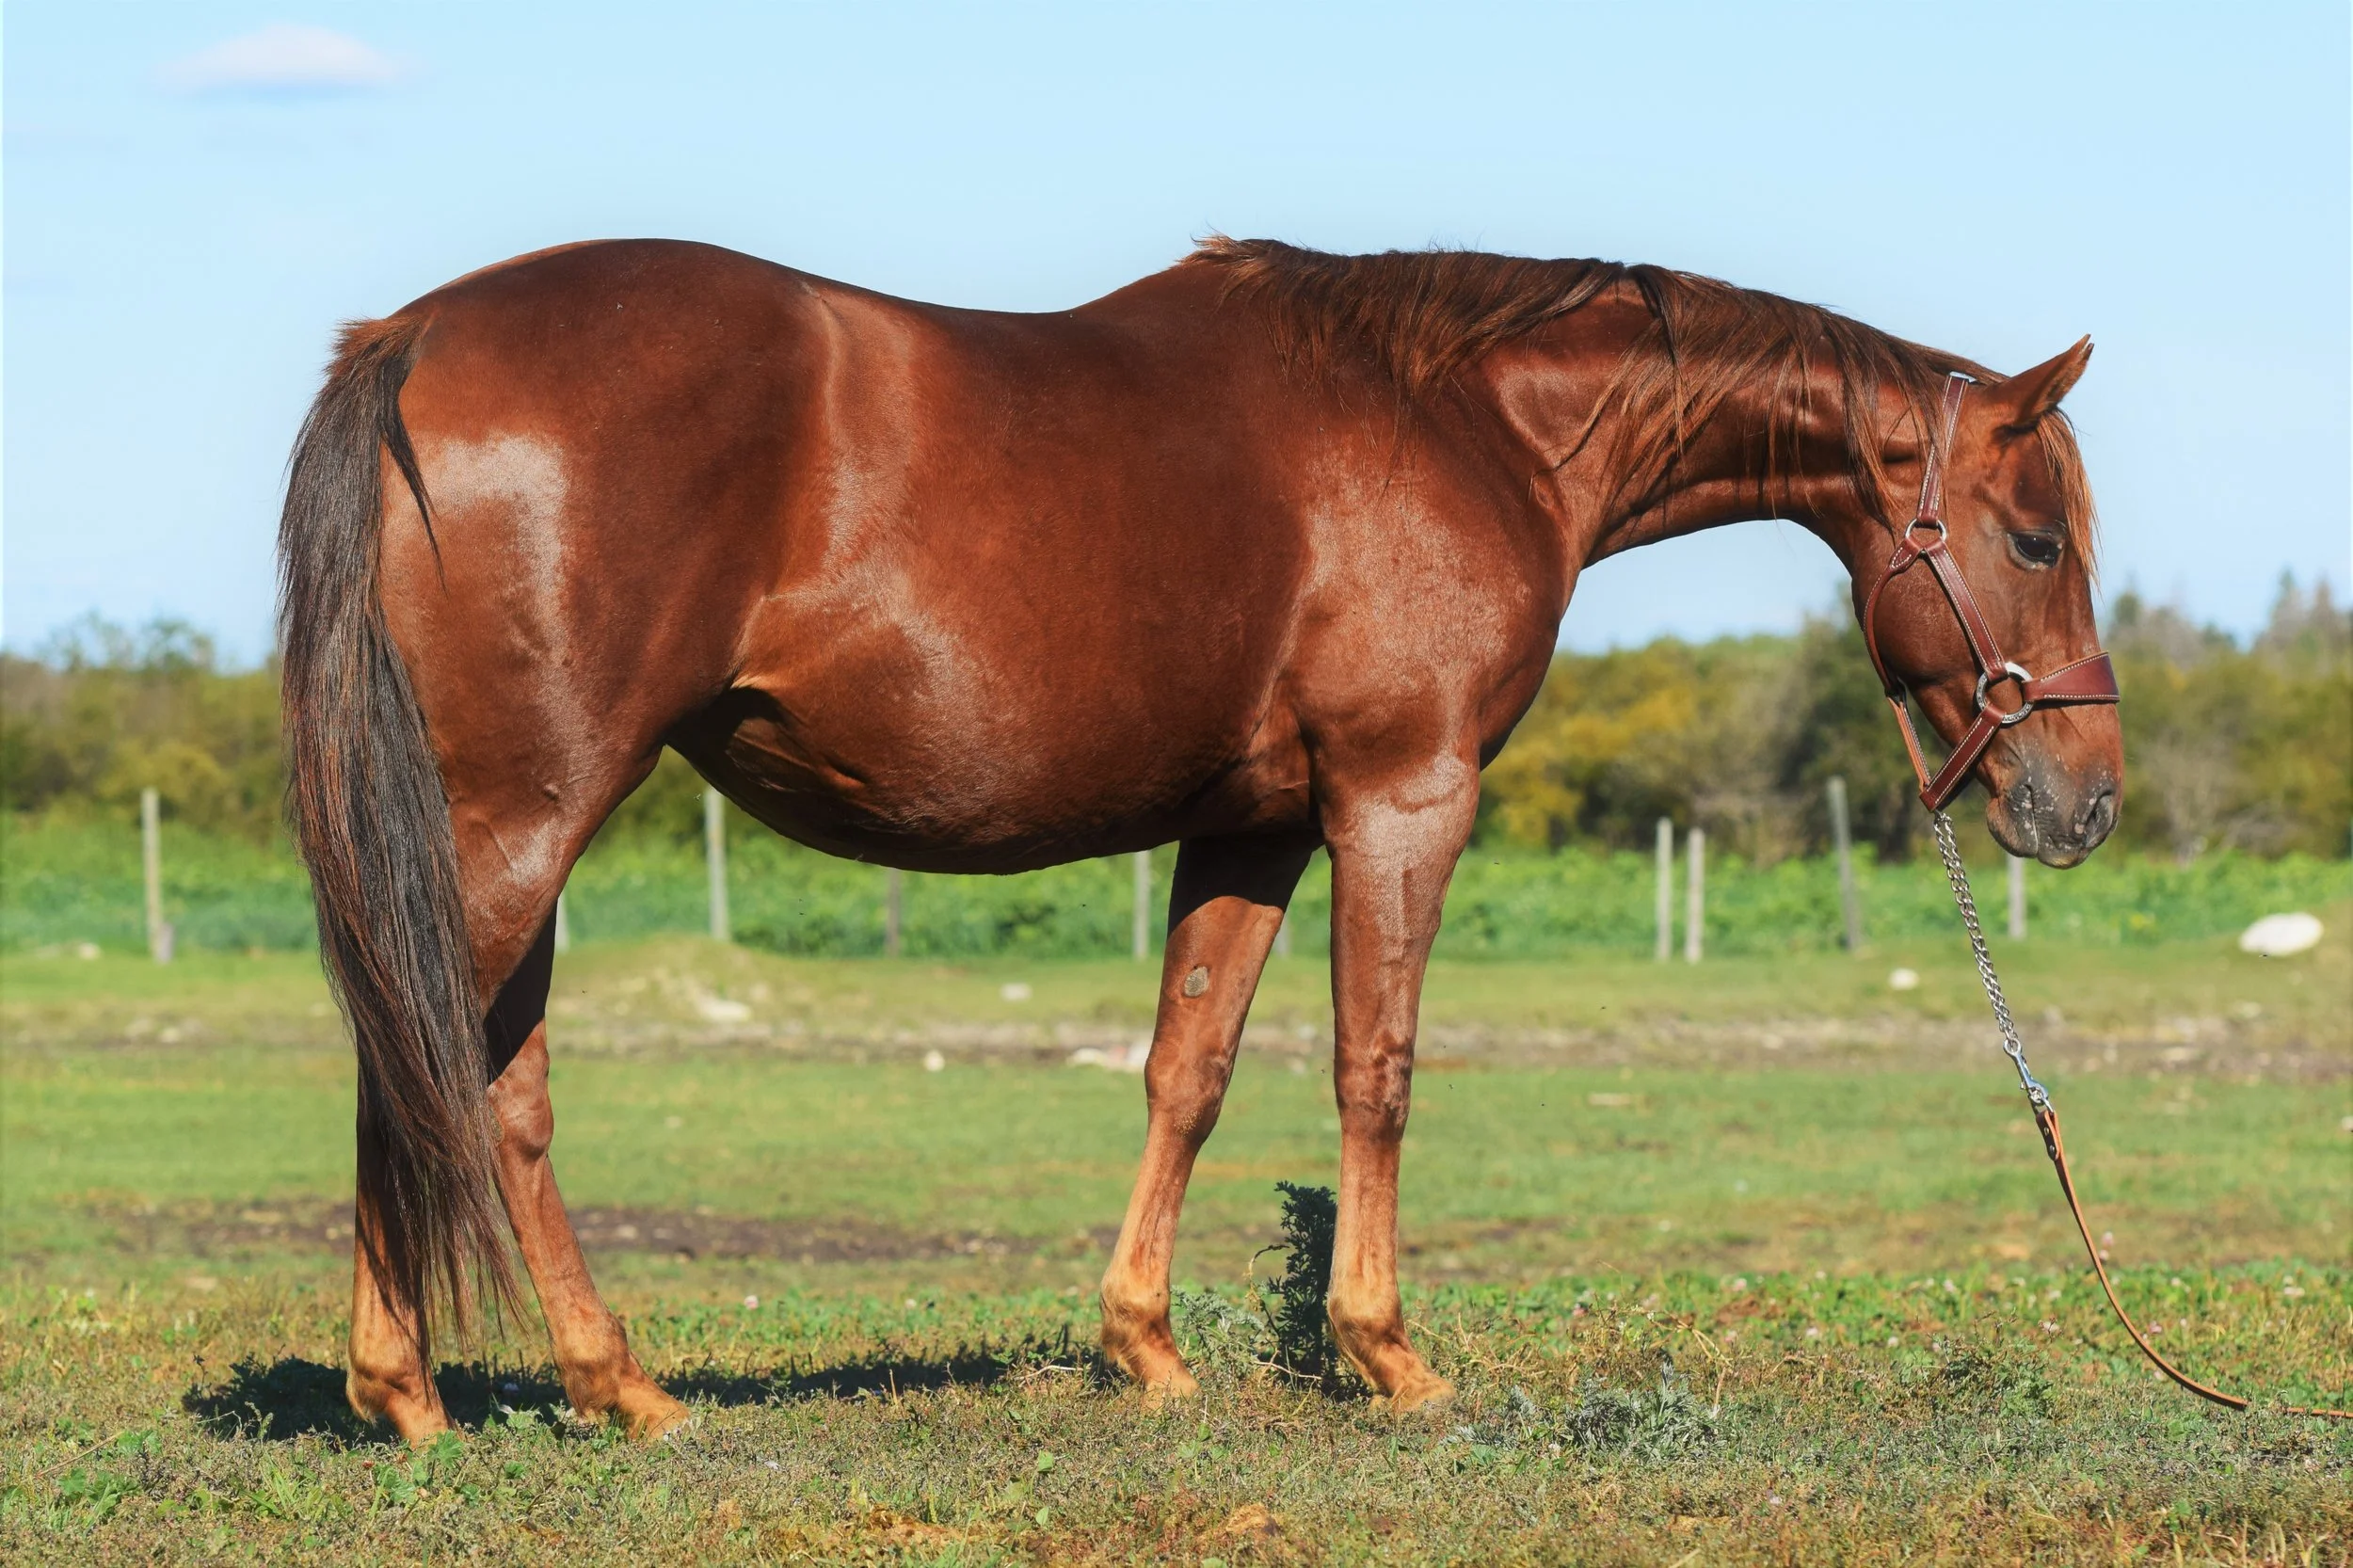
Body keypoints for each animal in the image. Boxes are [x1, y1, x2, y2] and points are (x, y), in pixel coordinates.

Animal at [278, 236, 2121, 1441]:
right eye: (2037, 536)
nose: (2084, 798)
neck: (1470, 423)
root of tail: (411, 339)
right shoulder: (1402, 796)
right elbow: (1376, 1065)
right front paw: (1386, 1352)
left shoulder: (1252, 830)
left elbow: (1192, 1068)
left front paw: (1145, 1349)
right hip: (520, 821)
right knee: (424, 1064)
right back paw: (426, 1390)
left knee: (480, 1083)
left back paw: (592, 1381)